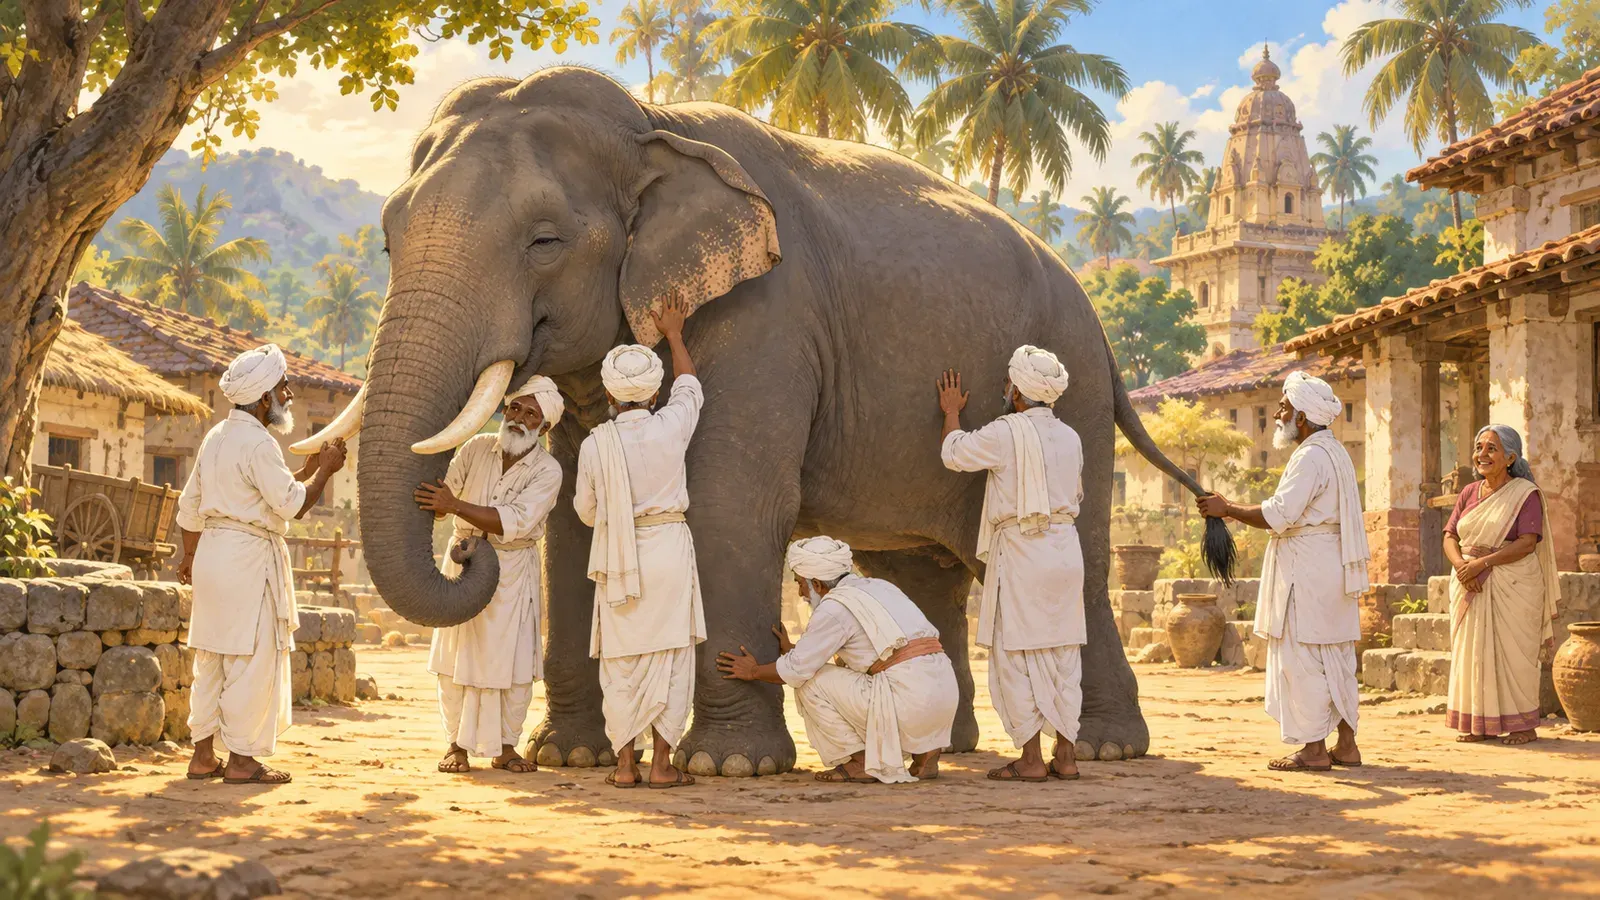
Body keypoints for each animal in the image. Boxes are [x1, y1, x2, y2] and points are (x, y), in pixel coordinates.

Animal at [299, 66, 1211, 776]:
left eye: (545, 240)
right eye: (387, 240)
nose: (463, 551)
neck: (652, 123)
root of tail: (1100, 327)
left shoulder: (769, 317)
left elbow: (731, 499)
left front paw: (729, 765)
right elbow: (571, 517)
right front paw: (568, 756)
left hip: (1076, 394)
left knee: (1081, 559)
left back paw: (1103, 749)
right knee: (918, 568)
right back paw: (947, 749)